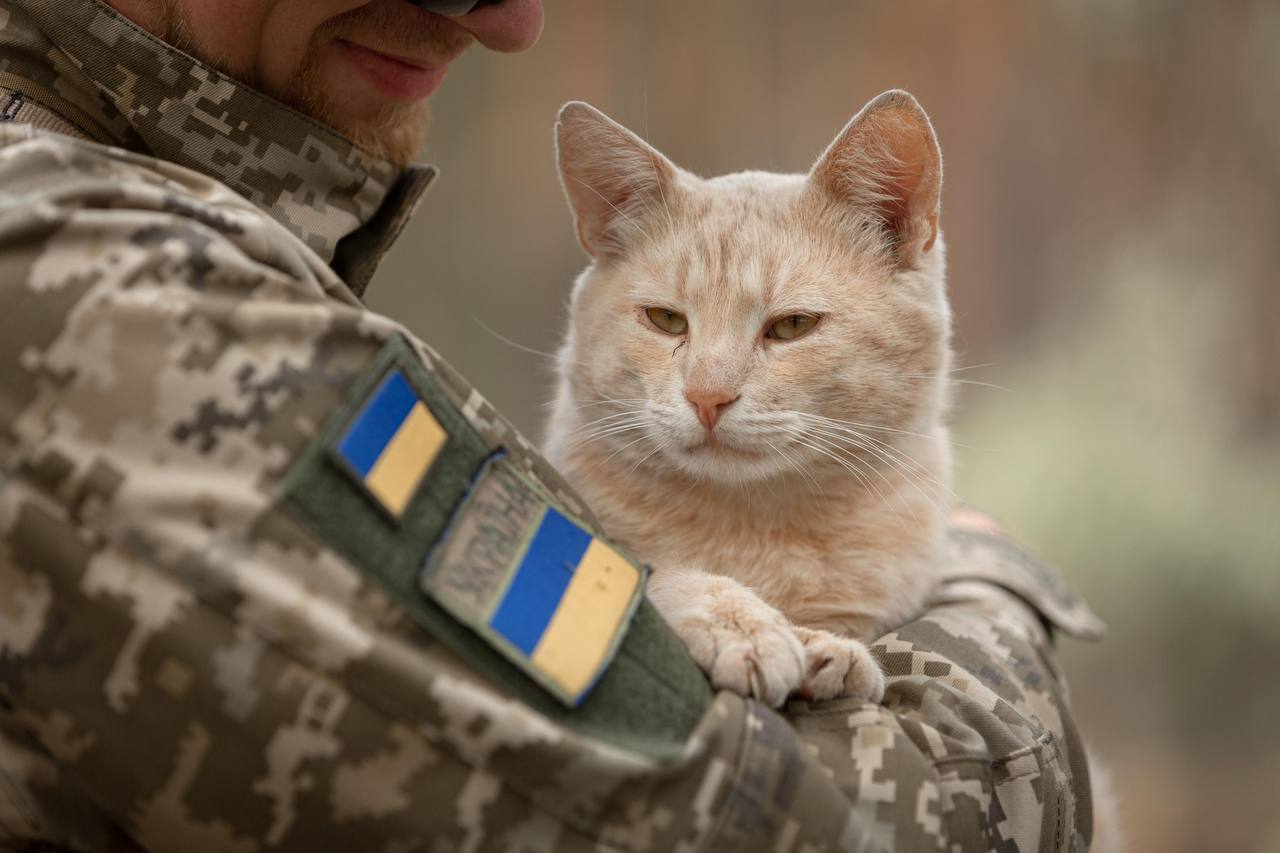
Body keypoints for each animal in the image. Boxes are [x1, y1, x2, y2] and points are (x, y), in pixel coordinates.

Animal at [540, 91, 952, 701]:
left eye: (792, 326)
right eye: (665, 320)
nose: (707, 397)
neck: (755, 524)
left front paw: (824, 644)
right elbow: (670, 576)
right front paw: (743, 627)